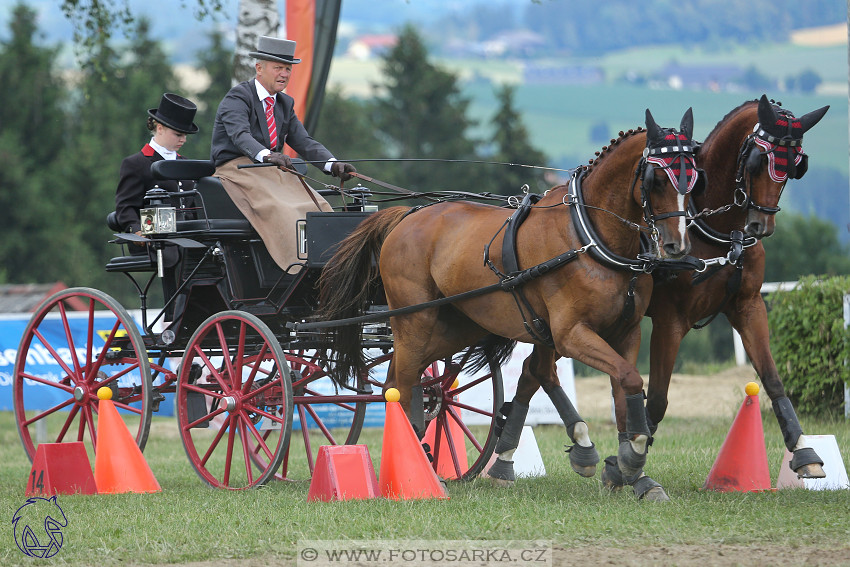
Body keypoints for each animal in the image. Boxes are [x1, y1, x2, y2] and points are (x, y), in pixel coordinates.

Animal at [318, 108, 704, 500]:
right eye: (657, 179)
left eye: (693, 178)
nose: (677, 245)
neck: (590, 237)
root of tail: (407, 216)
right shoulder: (570, 334)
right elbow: (627, 379)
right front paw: (627, 456)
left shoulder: (625, 332)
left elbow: (624, 389)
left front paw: (633, 467)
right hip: (416, 320)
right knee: (405, 381)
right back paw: (419, 467)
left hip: (456, 327)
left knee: (400, 382)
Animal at [604, 93, 828, 492]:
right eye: (758, 161)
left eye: (795, 166)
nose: (761, 225)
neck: (715, 230)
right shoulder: (670, 321)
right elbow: (656, 399)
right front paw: (625, 462)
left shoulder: (748, 307)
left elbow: (772, 378)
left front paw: (804, 451)